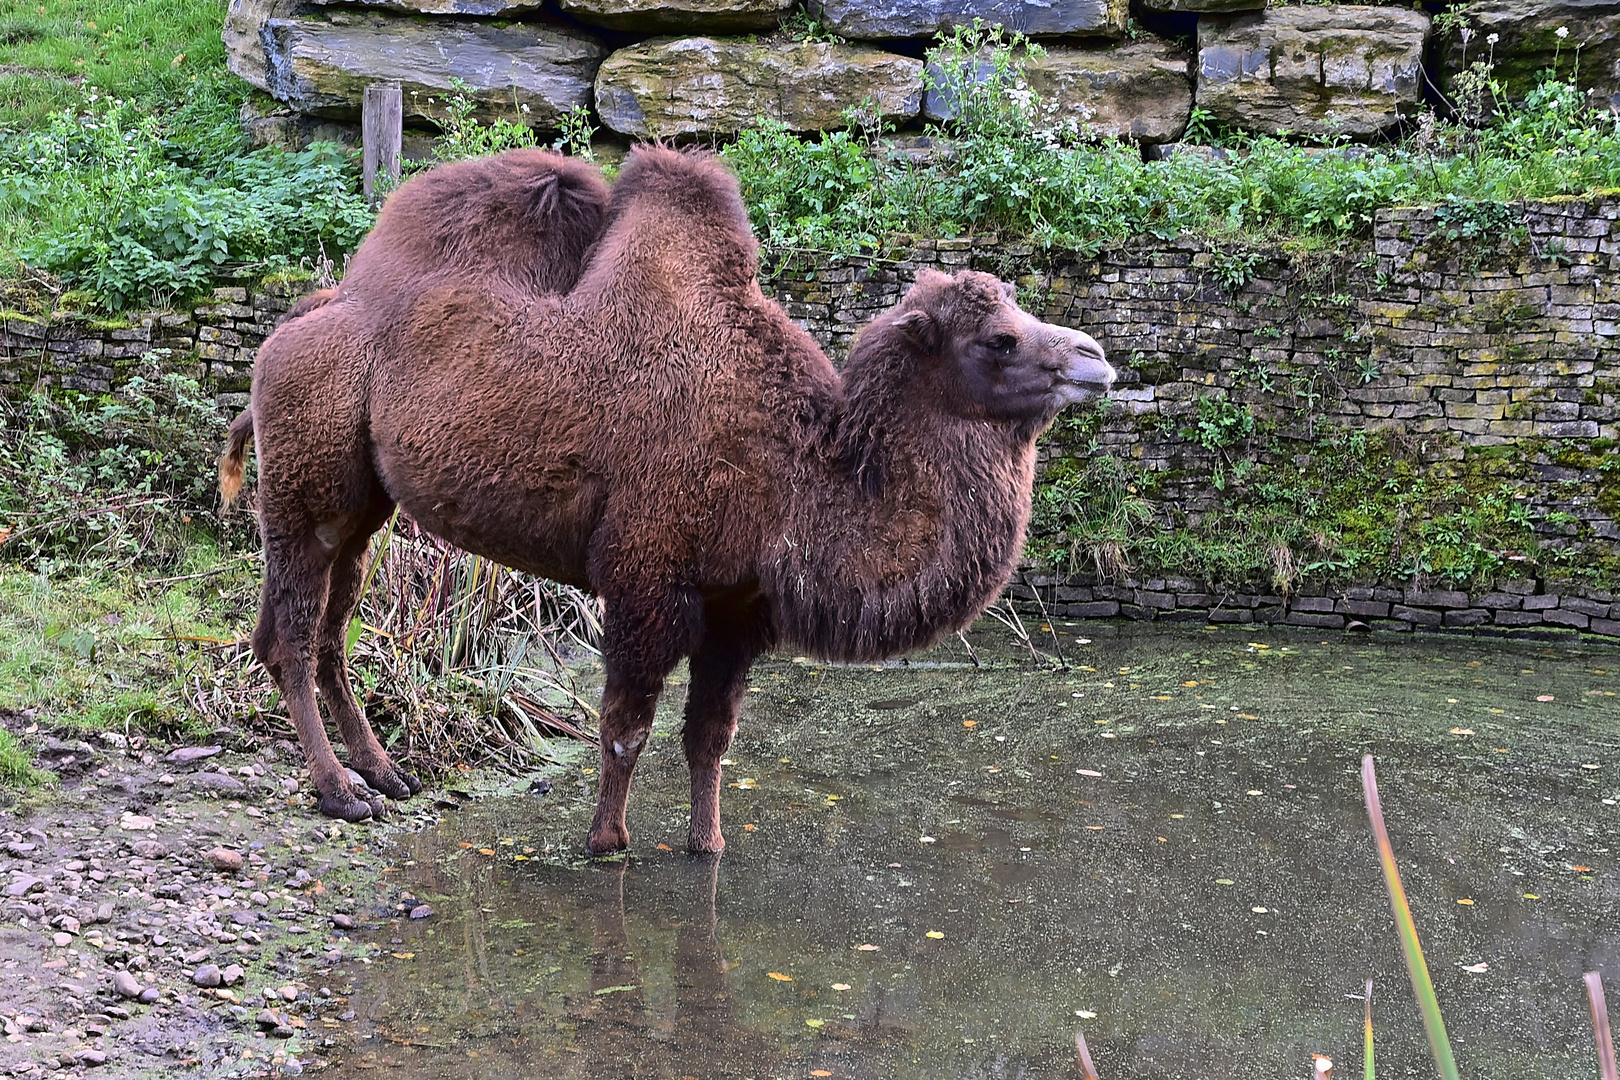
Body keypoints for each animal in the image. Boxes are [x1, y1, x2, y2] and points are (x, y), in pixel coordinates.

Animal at [225, 145, 1114, 854]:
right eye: (997, 339)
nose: (1097, 360)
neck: (791, 470)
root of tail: (300, 319)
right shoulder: (648, 581)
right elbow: (624, 729)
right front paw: (605, 843)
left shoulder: (740, 608)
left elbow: (709, 738)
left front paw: (707, 846)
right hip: (303, 488)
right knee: (290, 635)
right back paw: (341, 793)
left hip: (360, 505)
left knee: (329, 627)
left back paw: (385, 773)